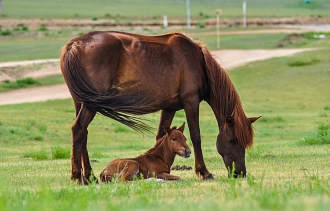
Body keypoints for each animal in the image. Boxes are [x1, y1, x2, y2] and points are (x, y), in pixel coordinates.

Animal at [59, 30, 260, 184]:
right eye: (232, 140)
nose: (240, 173)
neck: (199, 62)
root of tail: (74, 45)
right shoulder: (191, 101)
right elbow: (196, 136)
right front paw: (204, 172)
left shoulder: (169, 107)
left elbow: (161, 135)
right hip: (90, 105)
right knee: (78, 129)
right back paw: (78, 177)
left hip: (82, 102)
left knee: (83, 134)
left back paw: (90, 176)